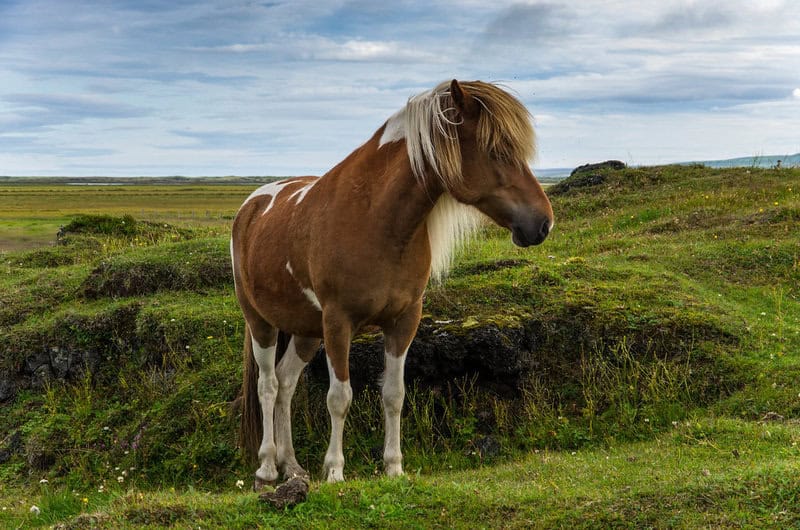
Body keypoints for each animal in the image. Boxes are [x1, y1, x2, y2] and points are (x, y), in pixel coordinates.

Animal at [232, 79, 553, 487]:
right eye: (497, 150)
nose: (543, 224)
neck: (374, 217)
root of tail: (252, 205)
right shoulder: (338, 322)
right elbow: (339, 397)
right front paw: (335, 470)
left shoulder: (404, 319)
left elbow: (394, 394)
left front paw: (394, 467)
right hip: (261, 321)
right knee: (268, 386)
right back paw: (268, 467)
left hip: (306, 330)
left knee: (287, 383)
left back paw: (292, 465)